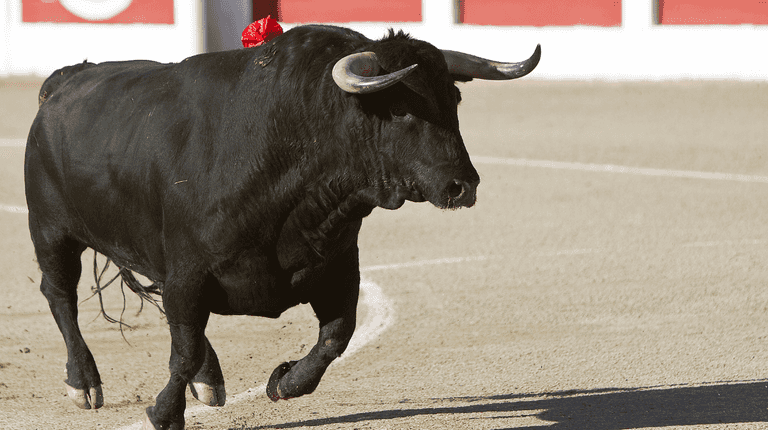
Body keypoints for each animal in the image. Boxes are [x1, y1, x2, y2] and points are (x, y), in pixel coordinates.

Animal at [25, 24, 540, 429]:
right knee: (61, 296)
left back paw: (209, 382)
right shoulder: (189, 271)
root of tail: (64, 79)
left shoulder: (337, 266)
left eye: (453, 99)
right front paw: (163, 413)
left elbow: (335, 336)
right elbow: (182, 349)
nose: (462, 185)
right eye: (398, 107)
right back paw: (85, 383)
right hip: (51, 232)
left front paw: (283, 383)